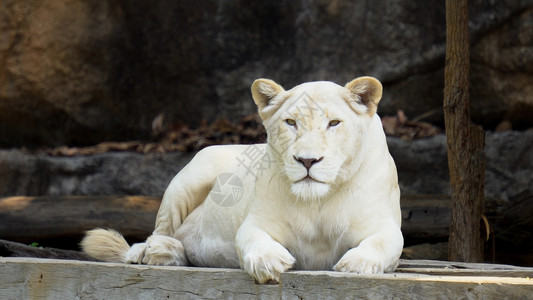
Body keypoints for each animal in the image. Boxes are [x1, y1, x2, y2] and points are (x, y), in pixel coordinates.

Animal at [81, 75, 402, 284]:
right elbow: (252, 240)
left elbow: (382, 243)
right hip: (189, 177)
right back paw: (152, 251)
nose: (307, 161)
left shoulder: (384, 226)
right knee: (161, 230)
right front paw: (269, 262)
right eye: (291, 123)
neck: (318, 202)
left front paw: (357, 265)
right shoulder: (257, 221)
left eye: (334, 123)